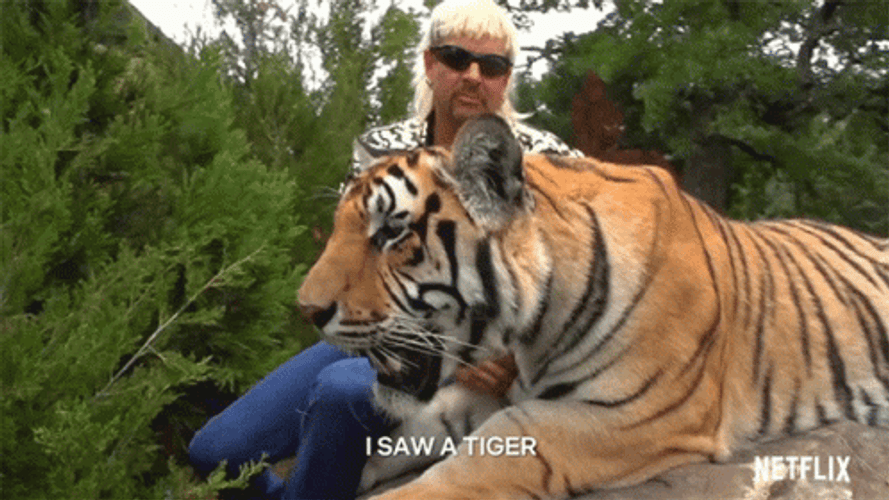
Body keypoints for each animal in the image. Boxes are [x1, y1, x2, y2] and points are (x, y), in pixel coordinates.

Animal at [297, 114, 889, 499]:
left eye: (392, 233)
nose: (306, 309)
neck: (536, 328)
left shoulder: (635, 417)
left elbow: (489, 452)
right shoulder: (508, 389)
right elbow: (409, 433)